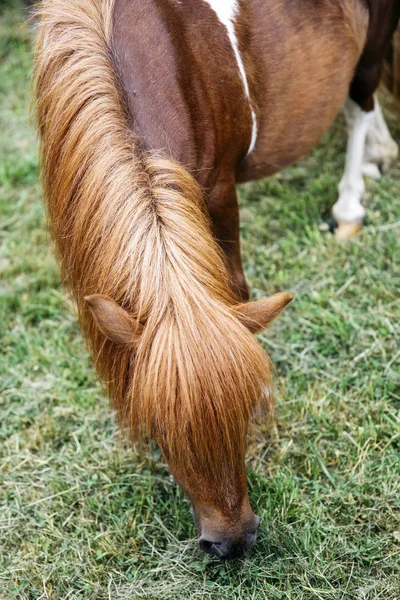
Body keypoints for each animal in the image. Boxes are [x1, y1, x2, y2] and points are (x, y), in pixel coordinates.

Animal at [35, 1, 400, 564]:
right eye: (160, 429)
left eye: (245, 413)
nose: (232, 542)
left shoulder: (219, 189)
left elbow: (236, 290)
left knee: (361, 96)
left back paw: (350, 204)